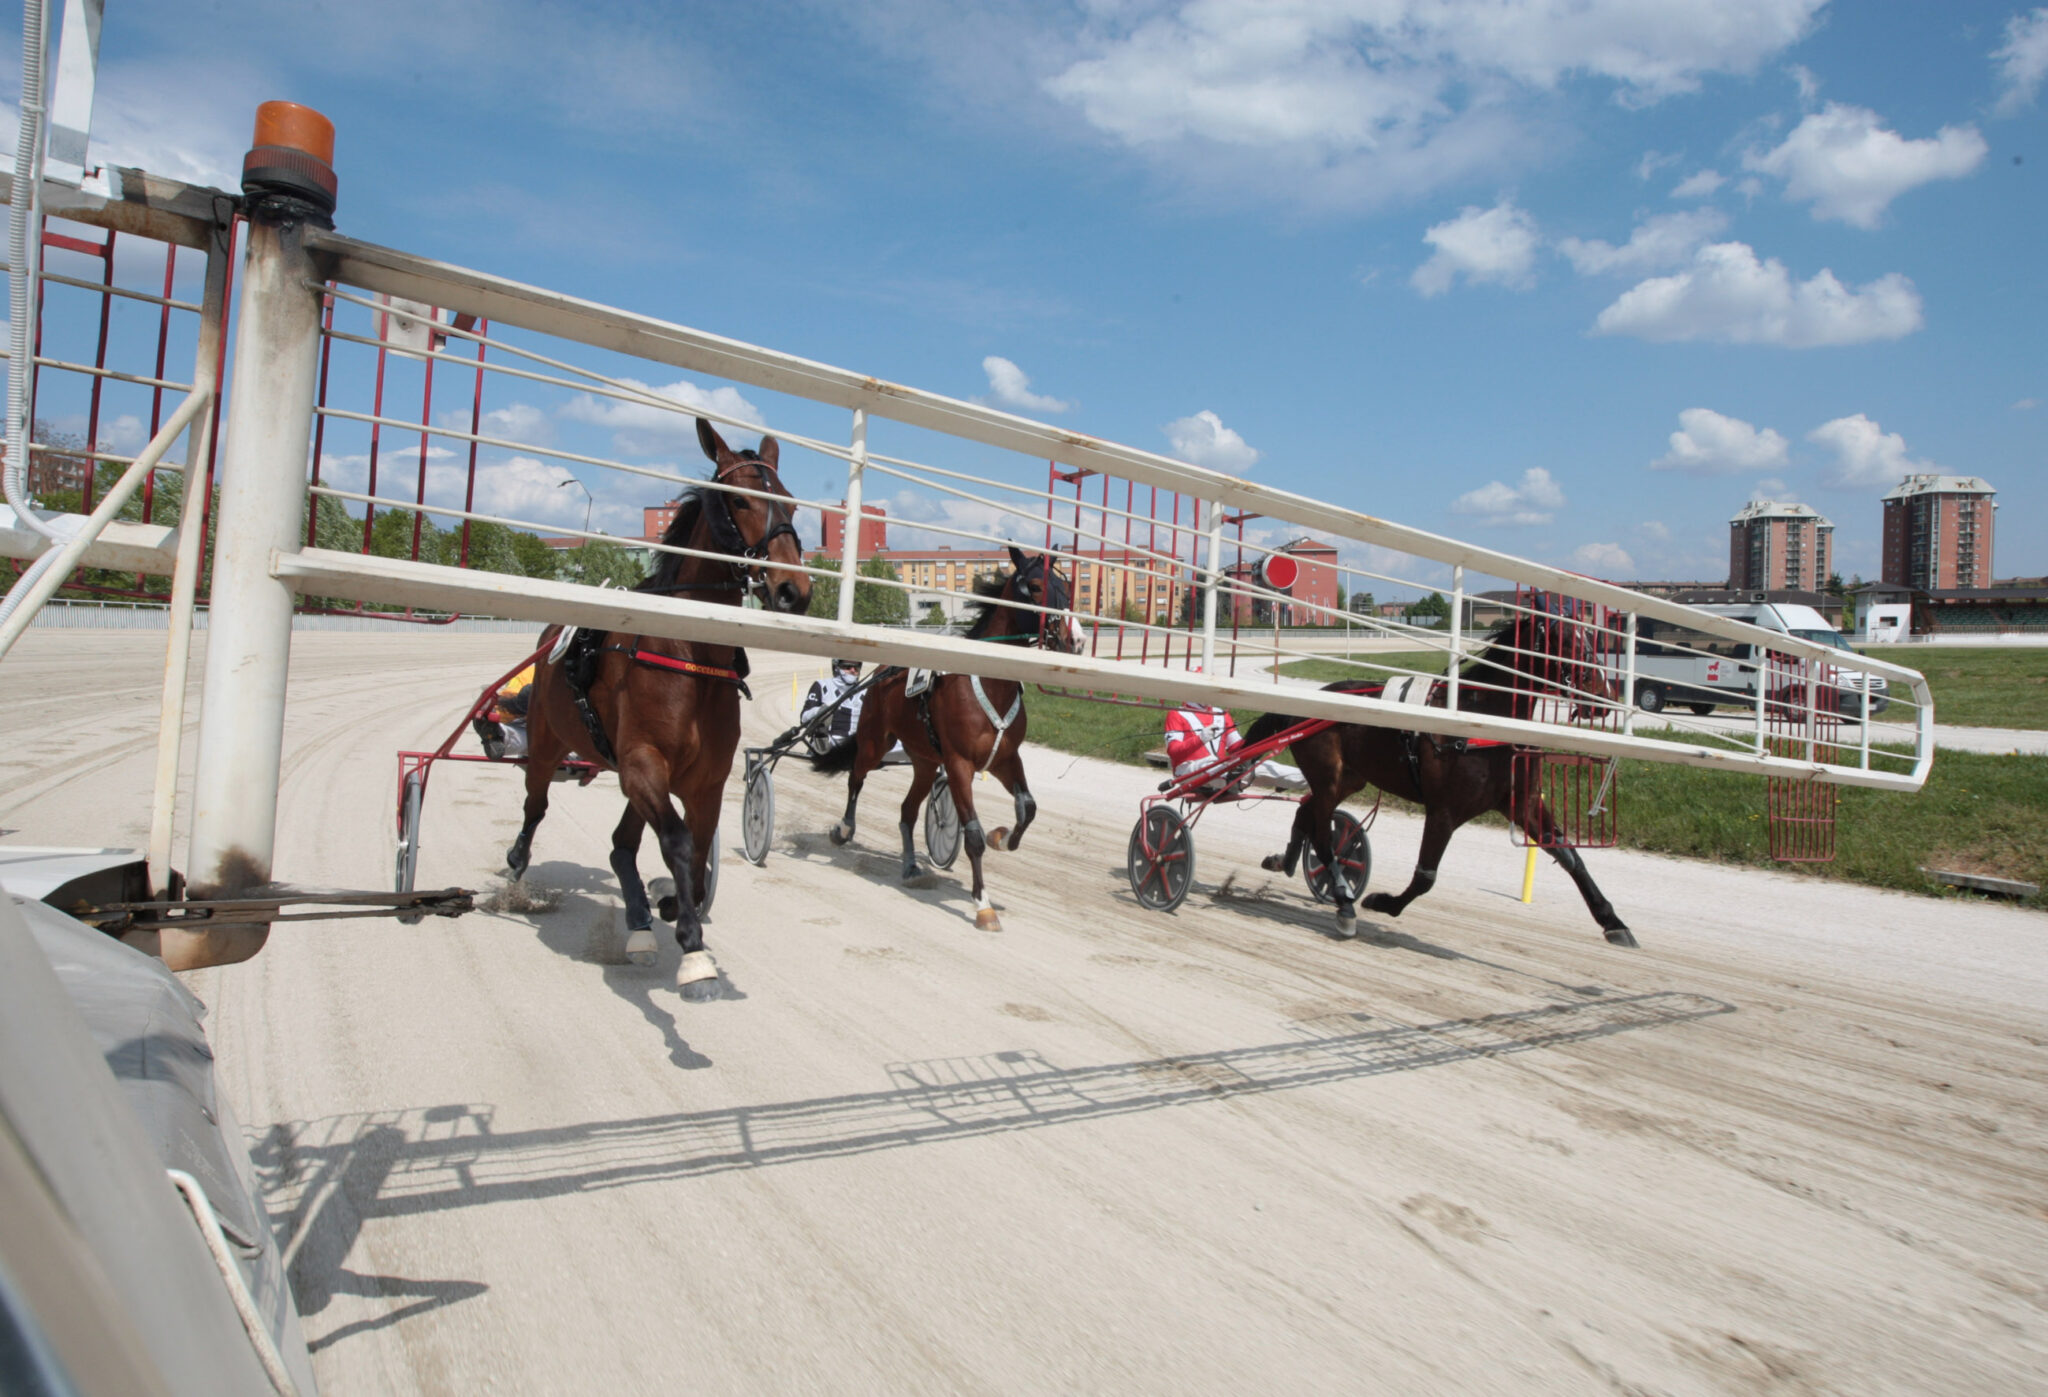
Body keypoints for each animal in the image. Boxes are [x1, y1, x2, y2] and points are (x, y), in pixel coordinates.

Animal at [507, 419, 811, 995]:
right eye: (740, 500)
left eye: (790, 502)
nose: (793, 589)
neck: (690, 653)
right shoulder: (643, 761)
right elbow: (677, 841)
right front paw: (692, 949)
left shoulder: (703, 777)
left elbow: (699, 852)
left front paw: (672, 902)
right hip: (548, 744)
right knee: (536, 806)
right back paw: (516, 868)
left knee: (621, 844)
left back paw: (641, 921)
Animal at [806, 548, 1081, 929]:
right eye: (1037, 586)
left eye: (1066, 589)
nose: (1075, 640)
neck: (990, 685)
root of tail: (882, 672)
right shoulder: (958, 764)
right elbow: (973, 835)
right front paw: (983, 904)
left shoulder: (1005, 758)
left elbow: (1027, 808)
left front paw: (1002, 837)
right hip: (875, 742)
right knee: (856, 777)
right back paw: (844, 829)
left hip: (924, 761)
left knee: (907, 810)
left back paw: (910, 867)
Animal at [1236, 610, 1638, 946]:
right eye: (1566, 643)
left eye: (1593, 639)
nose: (1606, 695)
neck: (1479, 724)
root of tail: (1302, 707)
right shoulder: (1444, 810)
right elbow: (1425, 876)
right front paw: (1383, 902)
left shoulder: (1520, 802)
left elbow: (1571, 857)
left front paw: (1614, 922)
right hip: (1329, 777)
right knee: (1321, 834)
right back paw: (1344, 902)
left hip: (1349, 779)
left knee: (1306, 813)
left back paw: (1287, 862)